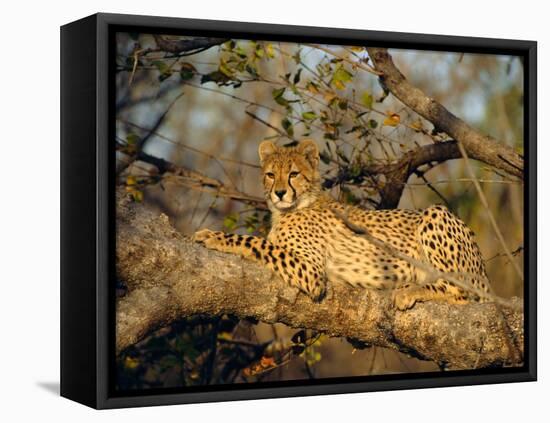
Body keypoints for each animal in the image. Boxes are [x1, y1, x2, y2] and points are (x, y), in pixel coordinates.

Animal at [193, 141, 492, 310]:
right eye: (270, 174)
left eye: (293, 174)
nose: (279, 193)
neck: (294, 207)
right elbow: (262, 242)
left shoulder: (312, 273)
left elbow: (256, 242)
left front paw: (213, 236)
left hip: (435, 214)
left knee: (463, 291)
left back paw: (408, 291)